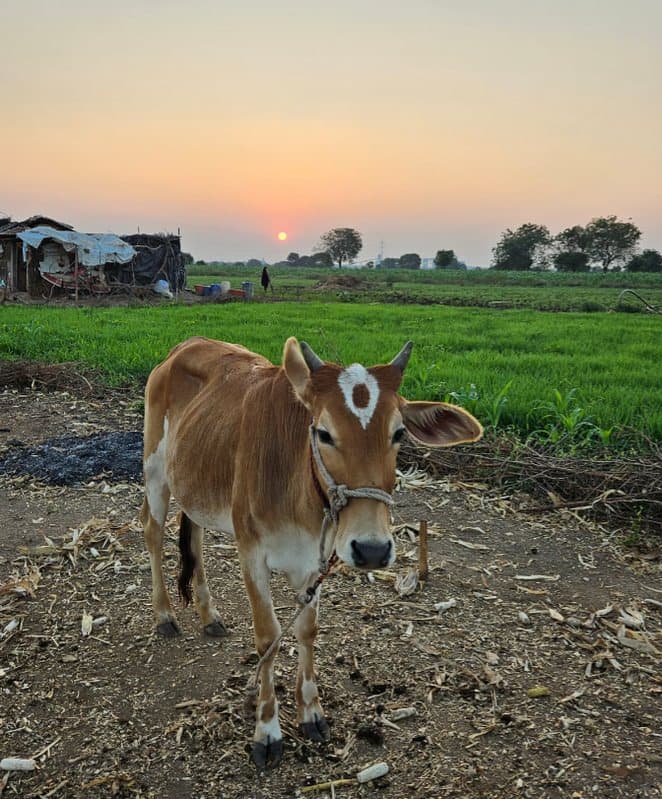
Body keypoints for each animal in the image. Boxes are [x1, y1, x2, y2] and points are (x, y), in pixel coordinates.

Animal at [141, 336, 483, 769]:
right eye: (323, 433)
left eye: (399, 433)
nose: (371, 548)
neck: (297, 487)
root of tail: (185, 345)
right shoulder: (251, 553)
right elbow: (268, 637)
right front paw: (267, 731)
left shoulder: (314, 561)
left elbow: (307, 631)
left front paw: (312, 714)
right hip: (155, 471)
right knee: (152, 533)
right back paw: (164, 615)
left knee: (195, 534)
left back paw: (208, 614)